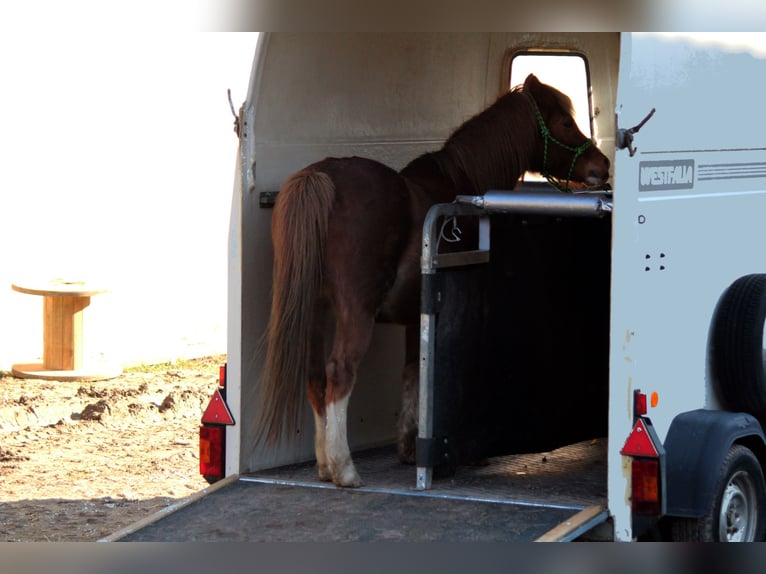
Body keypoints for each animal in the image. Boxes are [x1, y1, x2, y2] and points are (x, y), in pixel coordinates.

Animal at [255, 73, 611, 487]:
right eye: (566, 122)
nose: (602, 165)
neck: (461, 180)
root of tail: (321, 177)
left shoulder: (414, 317)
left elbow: (413, 370)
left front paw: (410, 447)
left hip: (313, 307)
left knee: (314, 377)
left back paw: (325, 466)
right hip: (354, 311)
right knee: (339, 372)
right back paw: (345, 469)